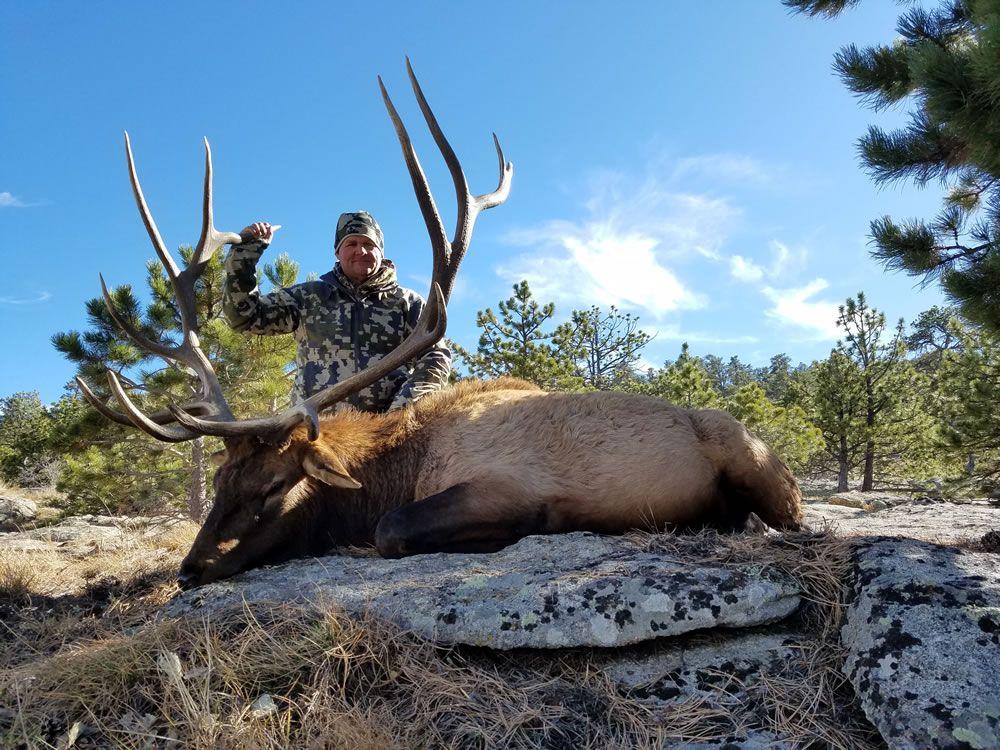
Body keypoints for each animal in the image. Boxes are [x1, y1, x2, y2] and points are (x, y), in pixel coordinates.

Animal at [74, 63, 800, 592]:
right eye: (221, 481)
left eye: (275, 486)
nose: (190, 568)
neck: (398, 466)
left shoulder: (508, 486)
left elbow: (393, 530)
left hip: (757, 464)